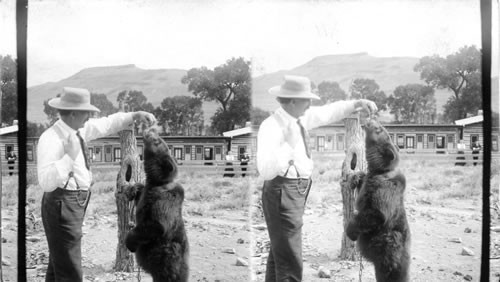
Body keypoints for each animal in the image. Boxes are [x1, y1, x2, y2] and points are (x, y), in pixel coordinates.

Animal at [125, 128, 189, 282]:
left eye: (157, 141)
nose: (150, 131)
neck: (156, 182)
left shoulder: (165, 199)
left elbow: (157, 224)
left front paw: (130, 242)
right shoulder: (149, 191)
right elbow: (139, 193)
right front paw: (133, 190)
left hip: (166, 258)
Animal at [346, 118, 412, 282]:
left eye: (379, 129)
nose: (370, 119)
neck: (379, 171)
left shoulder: (384, 189)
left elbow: (377, 213)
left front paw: (351, 231)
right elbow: (361, 179)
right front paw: (354, 179)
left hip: (389, 250)